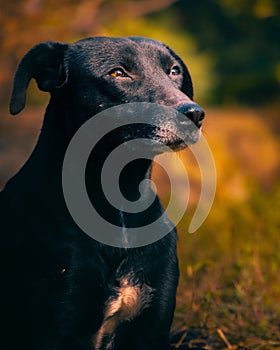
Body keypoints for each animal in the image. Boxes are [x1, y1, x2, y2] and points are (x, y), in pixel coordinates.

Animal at [1, 36, 205, 350]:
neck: (120, 197)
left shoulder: (151, 327)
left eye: (174, 71)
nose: (194, 114)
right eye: (118, 73)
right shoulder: (61, 328)